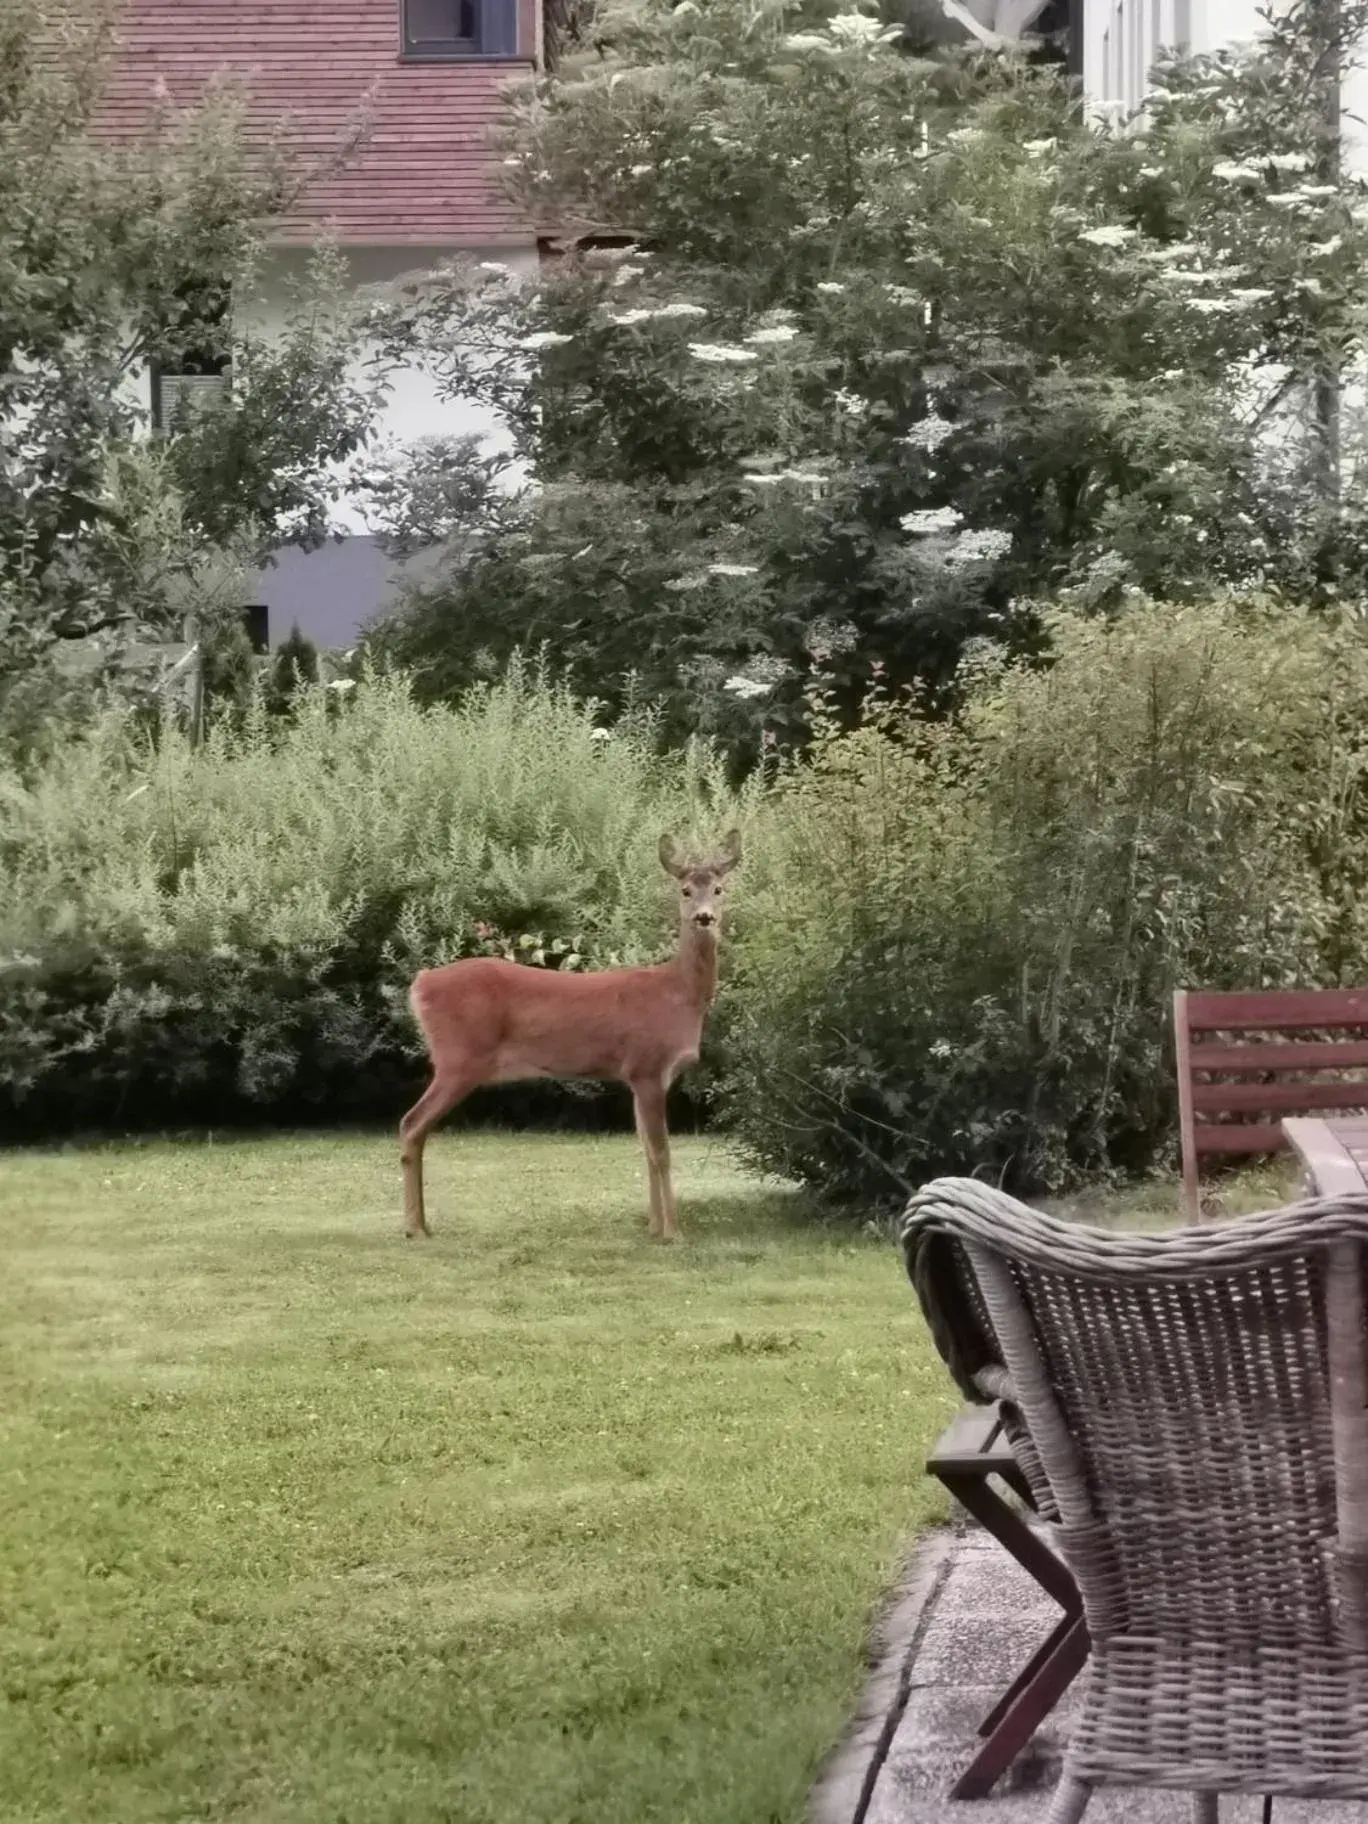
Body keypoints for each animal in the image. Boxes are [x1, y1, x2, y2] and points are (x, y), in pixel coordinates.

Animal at [401, 831, 744, 1240]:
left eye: (720, 889)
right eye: (686, 889)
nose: (704, 917)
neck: (677, 994)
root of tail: (420, 984)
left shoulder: (634, 1075)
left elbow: (645, 1149)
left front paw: (652, 1226)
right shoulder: (647, 1066)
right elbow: (661, 1152)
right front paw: (672, 1233)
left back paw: (421, 1224)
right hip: (459, 1059)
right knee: (411, 1123)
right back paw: (414, 1227)